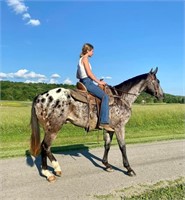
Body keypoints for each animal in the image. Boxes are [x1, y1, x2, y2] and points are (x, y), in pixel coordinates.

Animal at [30, 67, 163, 181]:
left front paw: (107, 165)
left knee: (44, 147)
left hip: (49, 128)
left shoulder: (110, 129)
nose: (162, 95)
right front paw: (129, 169)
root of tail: (39, 97)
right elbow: (122, 147)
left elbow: (107, 145)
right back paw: (52, 171)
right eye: (158, 81)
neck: (121, 97)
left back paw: (48, 172)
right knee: (45, 146)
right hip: (54, 127)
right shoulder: (119, 127)